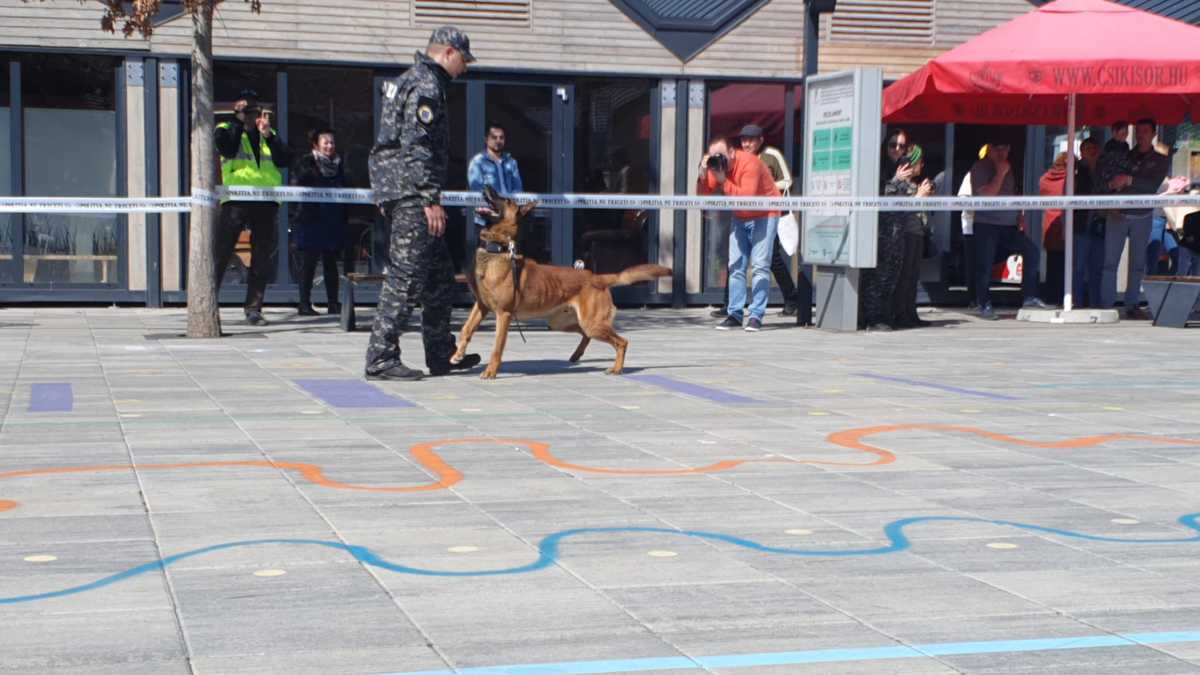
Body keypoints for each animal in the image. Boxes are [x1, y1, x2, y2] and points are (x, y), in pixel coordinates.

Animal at [451, 184, 672, 379]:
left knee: (622, 341)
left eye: (505, 200)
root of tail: (597, 277)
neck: (498, 250)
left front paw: (490, 371)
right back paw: (577, 355)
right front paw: (457, 355)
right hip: (562, 323)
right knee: (586, 334)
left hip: (591, 323)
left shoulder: (503, 314)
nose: (486, 186)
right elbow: (465, 330)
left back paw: (616, 369)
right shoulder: (481, 306)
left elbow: (497, 346)